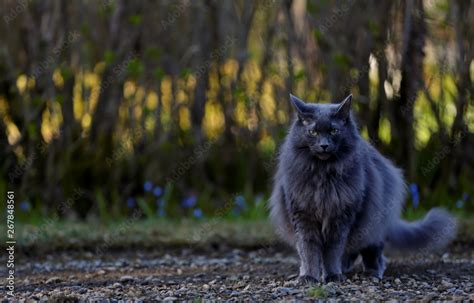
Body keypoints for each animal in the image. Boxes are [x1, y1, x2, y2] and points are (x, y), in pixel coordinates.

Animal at [270, 94, 460, 284]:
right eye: (313, 132)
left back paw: (371, 272)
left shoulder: (341, 218)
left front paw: (333, 275)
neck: (322, 174)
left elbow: (332, 250)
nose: (324, 145)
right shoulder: (302, 215)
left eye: (333, 131)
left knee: (373, 252)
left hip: (373, 223)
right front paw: (309, 276)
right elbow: (308, 250)